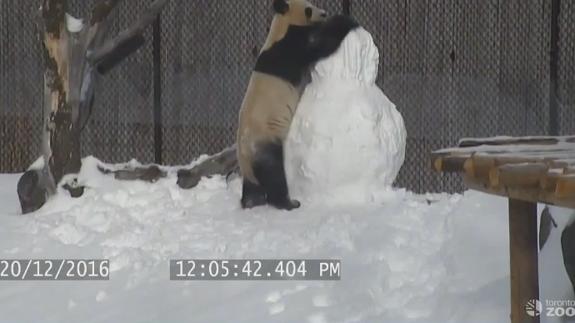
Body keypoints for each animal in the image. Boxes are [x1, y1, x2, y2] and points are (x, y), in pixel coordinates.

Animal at [236, 0, 358, 211]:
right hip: (265, 143)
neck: (281, 26)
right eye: (309, 9)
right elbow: (320, 45)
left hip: (251, 162)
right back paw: (289, 203)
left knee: (252, 186)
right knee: (274, 174)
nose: (323, 13)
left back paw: (251, 202)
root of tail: (245, 156)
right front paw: (346, 20)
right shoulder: (292, 49)